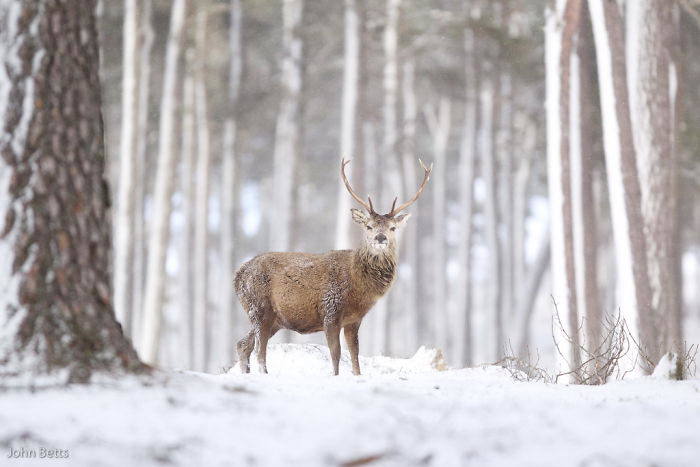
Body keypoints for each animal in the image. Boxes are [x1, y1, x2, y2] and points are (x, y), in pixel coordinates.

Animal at [235, 159, 432, 374]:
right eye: (369, 226)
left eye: (393, 228)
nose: (381, 238)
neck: (358, 287)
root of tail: (238, 275)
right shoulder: (330, 311)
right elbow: (336, 355)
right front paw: (335, 376)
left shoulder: (354, 320)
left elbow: (355, 356)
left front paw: (356, 375)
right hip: (259, 306)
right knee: (259, 349)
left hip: (273, 319)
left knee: (243, 344)